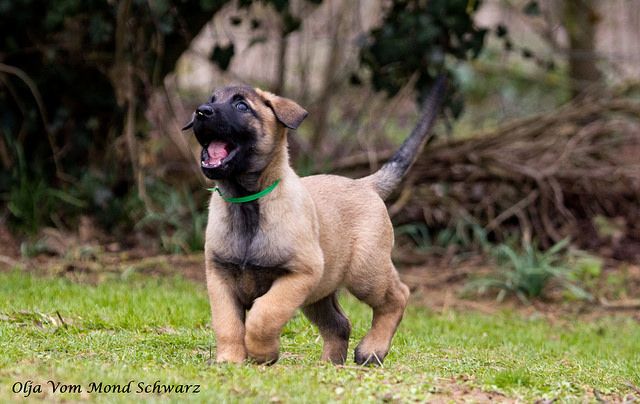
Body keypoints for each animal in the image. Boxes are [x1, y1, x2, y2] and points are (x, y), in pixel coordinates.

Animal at [182, 77, 445, 365]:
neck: (247, 203)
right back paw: (330, 364)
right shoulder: (220, 277)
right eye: (212, 99)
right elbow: (227, 323)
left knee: (398, 296)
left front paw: (263, 353)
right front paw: (229, 360)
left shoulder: (300, 273)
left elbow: (264, 314)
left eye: (242, 106)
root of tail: (365, 184)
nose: (201, 111)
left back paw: (372, 350)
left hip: (365, 272)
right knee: (339, 324)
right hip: (320, 292)